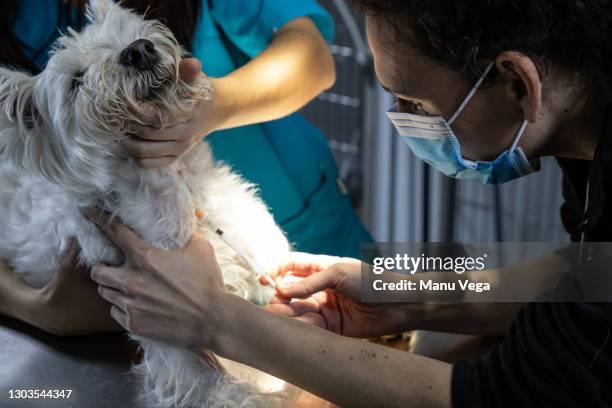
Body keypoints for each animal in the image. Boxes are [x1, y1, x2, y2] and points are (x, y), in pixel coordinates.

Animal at [0, 0, 292, 406]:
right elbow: (221, 386)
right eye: (76, 82)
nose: (138, 50)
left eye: (123, 32)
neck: (169, 186)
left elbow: (263, 252)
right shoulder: (168, 326)